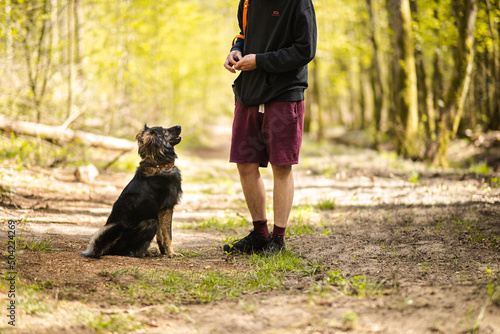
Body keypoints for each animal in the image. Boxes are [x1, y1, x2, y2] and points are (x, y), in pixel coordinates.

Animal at [81, 125, 183, 258]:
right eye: (165, 131)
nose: (179, 126)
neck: (158, 165)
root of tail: (109, 248)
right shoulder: (166, 208)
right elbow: (168, 235)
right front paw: (171, 253)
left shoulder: (158, 213)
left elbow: (161, 236)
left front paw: (164, 251)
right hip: (150, 222)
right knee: (132, 252)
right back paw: (146, 253)